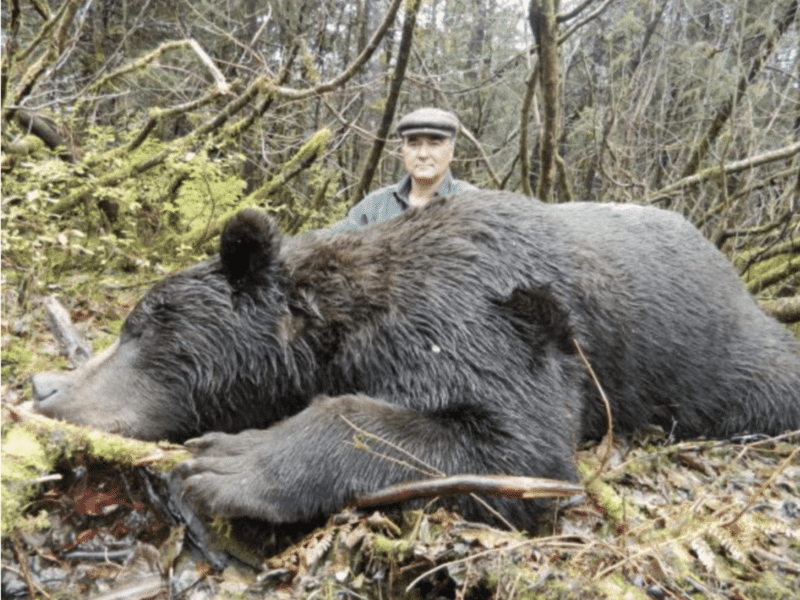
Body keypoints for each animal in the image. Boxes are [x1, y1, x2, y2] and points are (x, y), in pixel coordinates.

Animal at [31, 192, 800, 528]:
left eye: (143, 324)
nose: (45, 389)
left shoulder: (479, 321)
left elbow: (520, 445)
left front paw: (231, 462)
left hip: (725, 356)